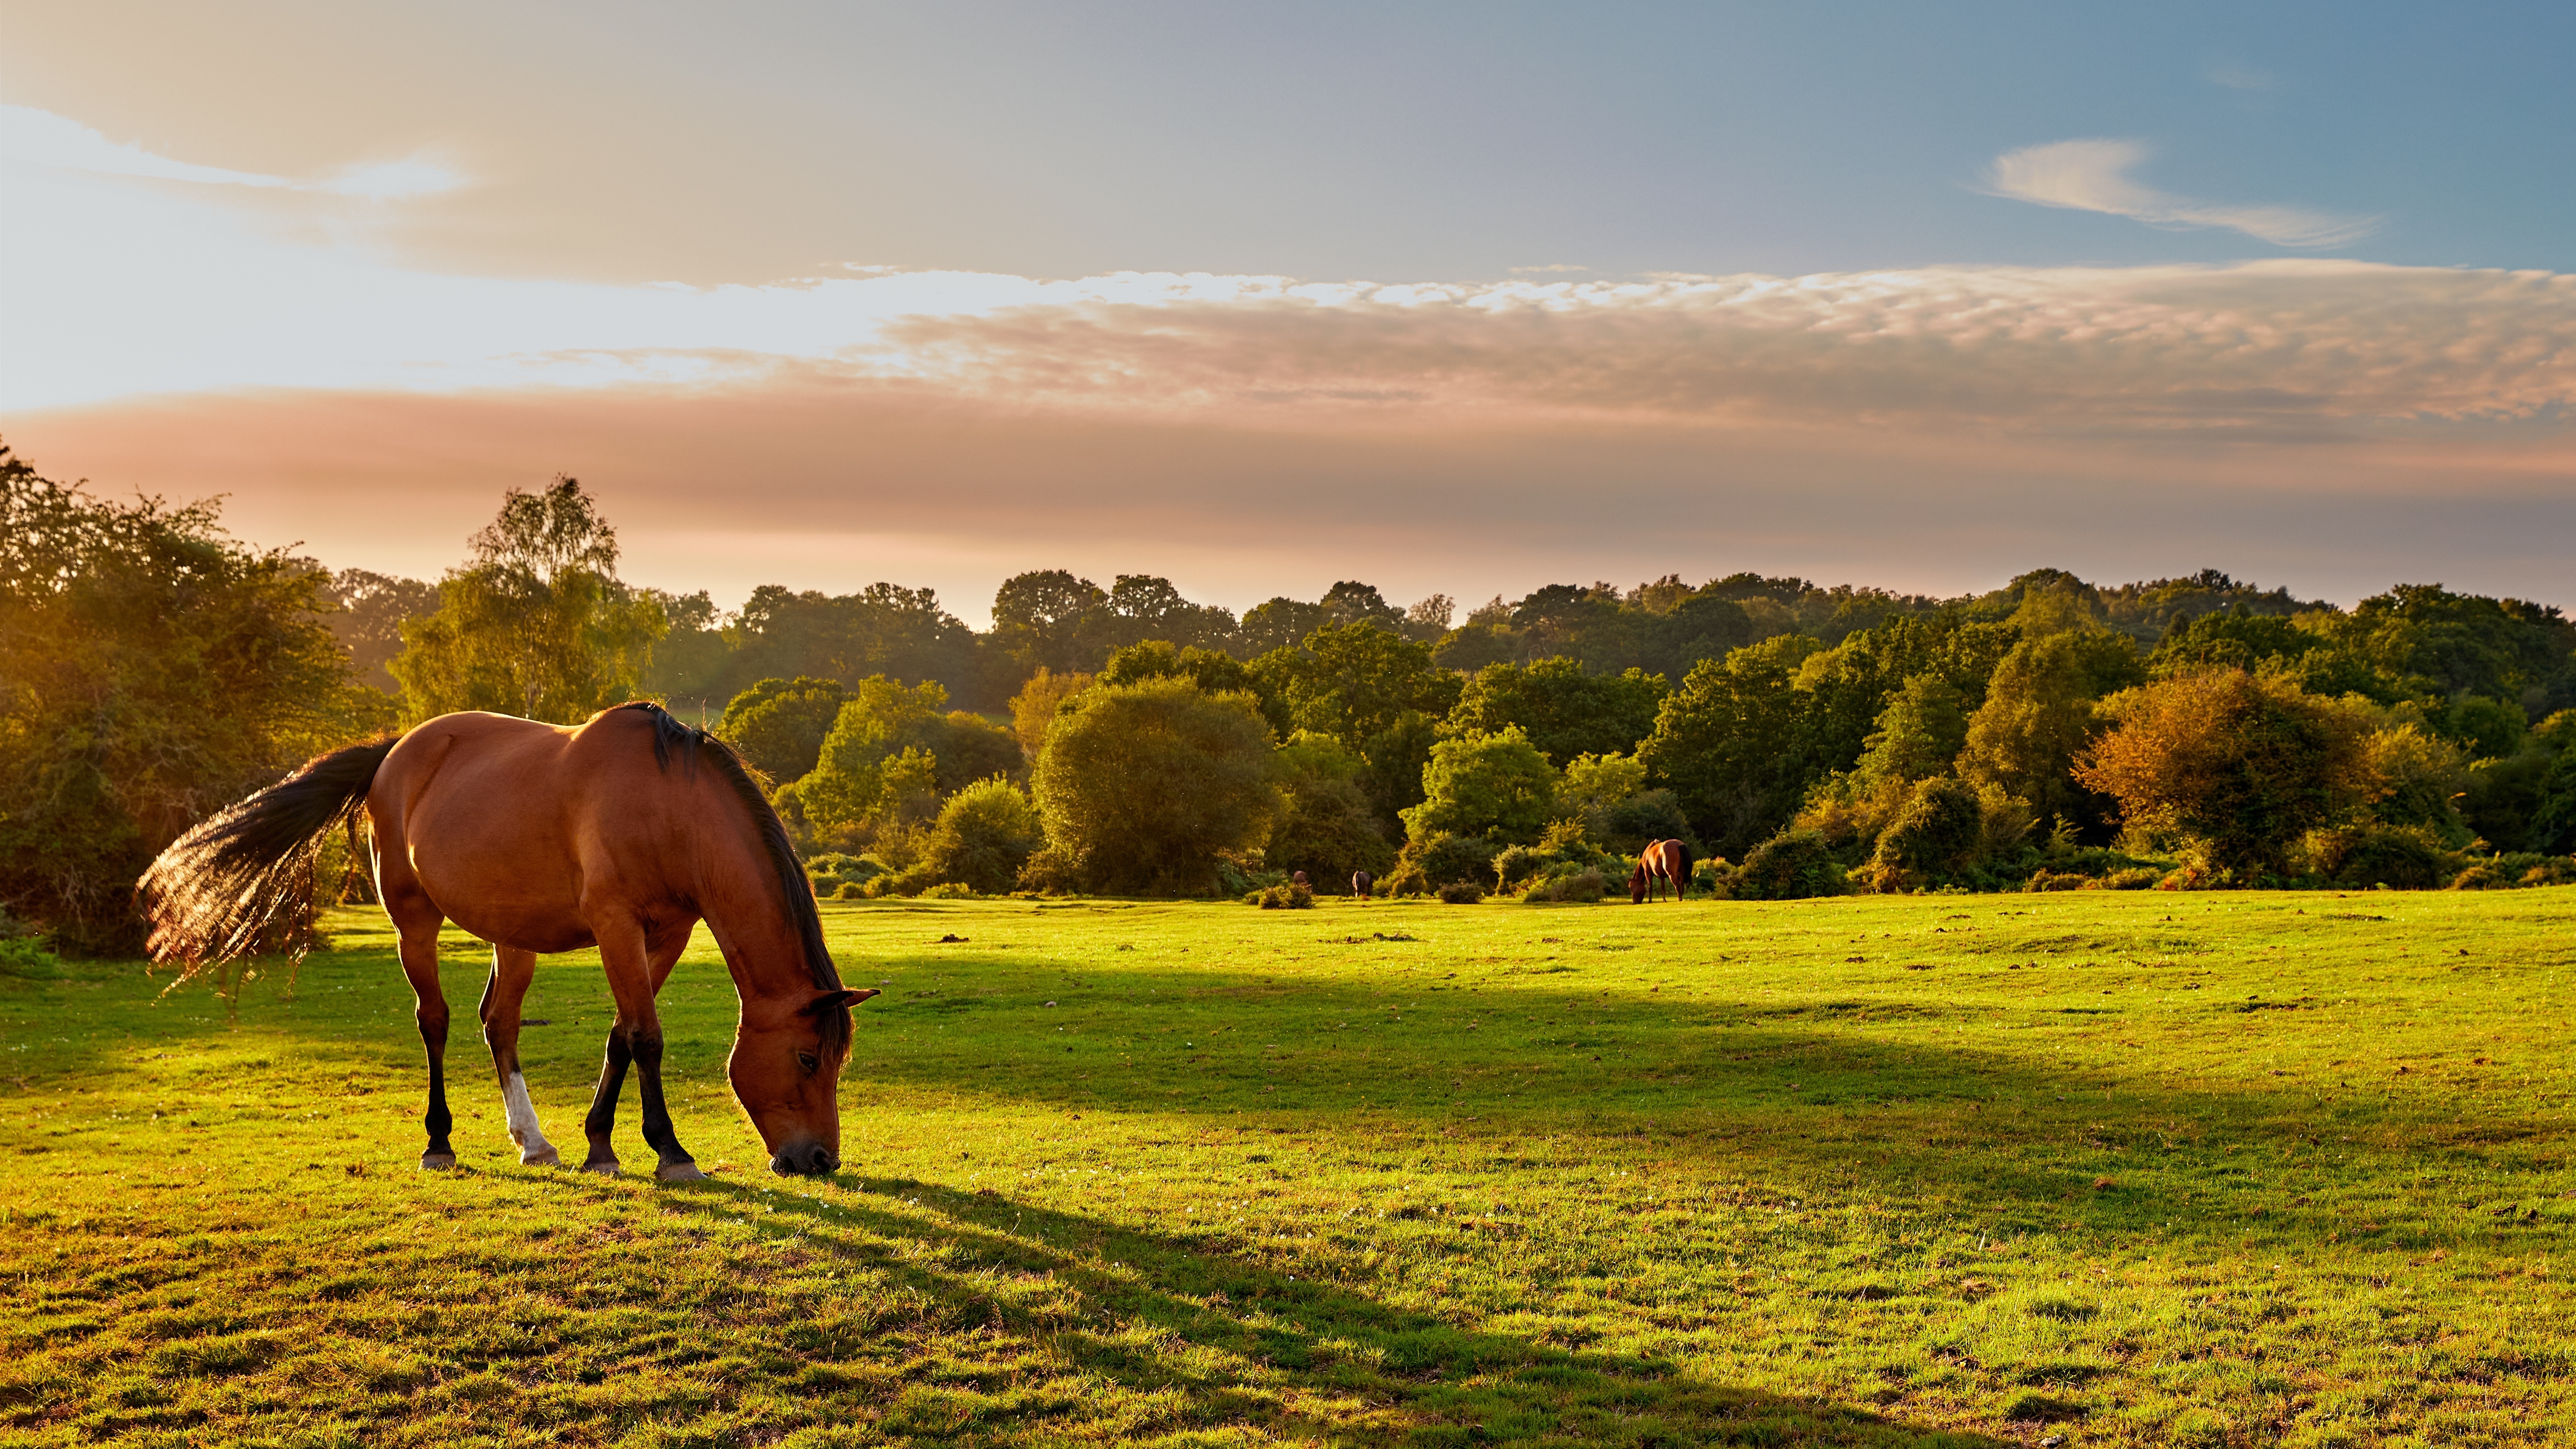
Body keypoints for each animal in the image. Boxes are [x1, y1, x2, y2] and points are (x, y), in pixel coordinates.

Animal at [139, 702, 876, 1181]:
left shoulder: (665, 934)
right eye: (808, 1057)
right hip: (414, 921)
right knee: (434, 1020)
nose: (820, 1160)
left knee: (500, 1023)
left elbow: (621, 1033)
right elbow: (646, 1036)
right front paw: (671, 1152)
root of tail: (395, 751)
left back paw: (534, 1141)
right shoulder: (616, 927)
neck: (669, 807)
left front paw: (600, 1146)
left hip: (511, 935)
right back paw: (439, 1142)